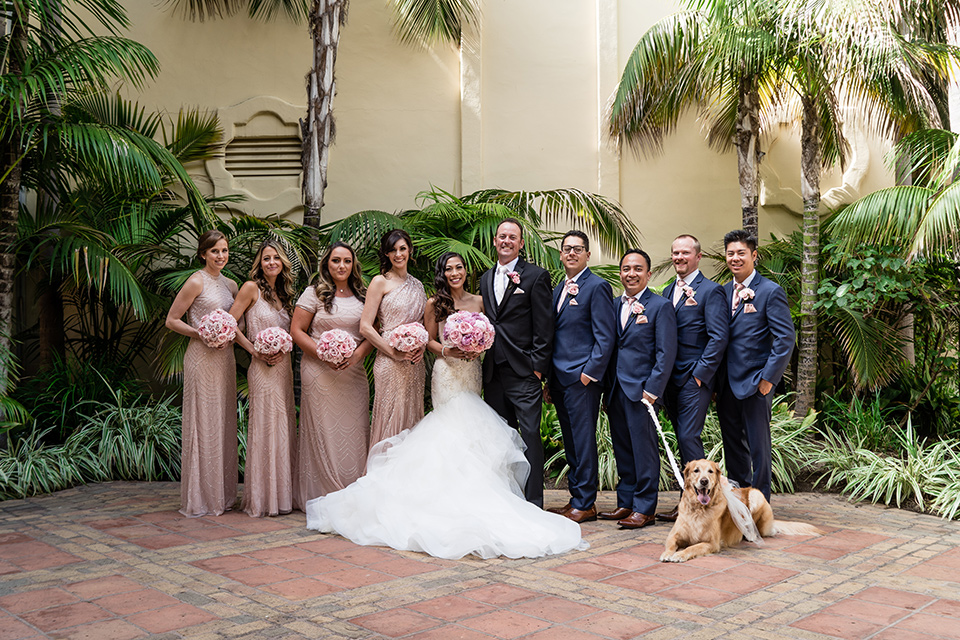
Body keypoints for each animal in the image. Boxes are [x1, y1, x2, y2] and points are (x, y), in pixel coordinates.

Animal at [660, 458, 824, 564]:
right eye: (696, 471)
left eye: (710, 471)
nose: (704, 481)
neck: (698, 509)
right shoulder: (673, 535)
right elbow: (670, 545)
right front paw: (667, 553)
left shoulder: (711, 543)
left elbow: (692, 547)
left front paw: (680, 554)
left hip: (756, 495)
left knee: (767, 530)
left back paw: (750, 534)